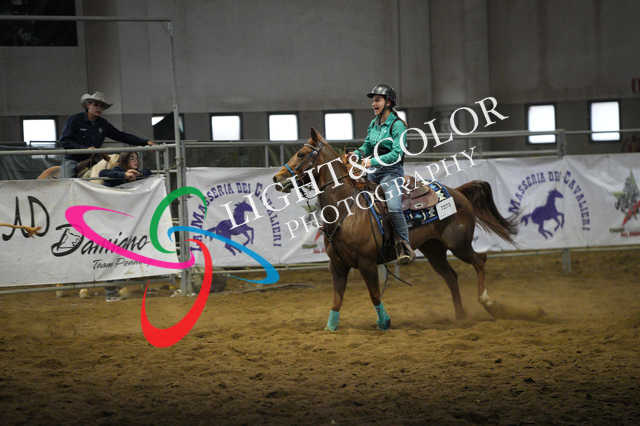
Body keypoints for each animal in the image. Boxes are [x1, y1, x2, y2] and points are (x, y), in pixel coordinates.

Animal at [272, 128, 518, 331]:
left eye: (301, 154)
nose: (276, 178)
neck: (347, 209)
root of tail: (457, 191)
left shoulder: (367, 263)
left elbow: (374, 295)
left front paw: (384, 322)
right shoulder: (338, 265)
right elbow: (337, 299)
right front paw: (330, 327)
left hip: (459, 244)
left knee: (480, 261)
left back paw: (487, 301)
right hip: (434, 250)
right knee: (451, 276)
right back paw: (460, 315)